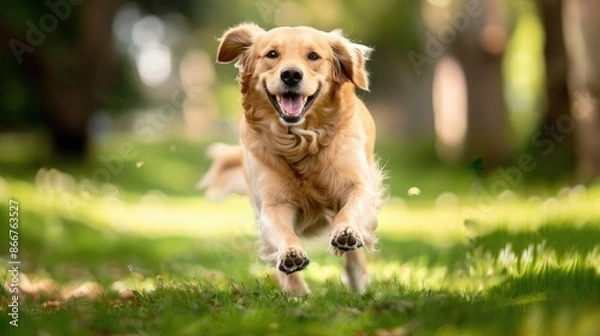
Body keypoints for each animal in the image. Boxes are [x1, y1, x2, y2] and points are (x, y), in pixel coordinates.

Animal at [202, 23, 386, 294]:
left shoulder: (359, 185)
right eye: (272, 54)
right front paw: (290, 254)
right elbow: (281, 233)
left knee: (354, 257)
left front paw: (346, 231)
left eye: (313, 56)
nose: (290, 75)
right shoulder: (272, 204)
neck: (301, 142)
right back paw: (296, 291)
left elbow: (349, 210)